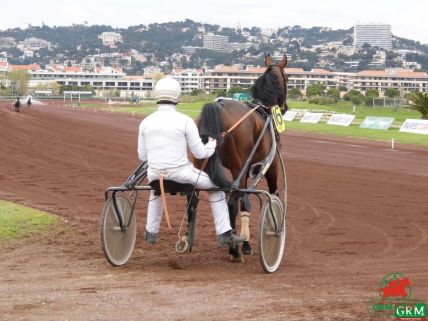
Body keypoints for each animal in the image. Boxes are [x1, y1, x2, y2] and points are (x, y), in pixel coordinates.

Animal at [196, 53, 290, 262]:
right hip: (240, 167)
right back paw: (234, 249)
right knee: (232, 200)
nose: (285, 107)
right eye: (288, 78)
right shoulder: (270, 168)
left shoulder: (246, 170)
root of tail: (219, 107)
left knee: (193, 195)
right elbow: (265, 198)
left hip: (199, 160)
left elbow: (246, 202)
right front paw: (247, 244)